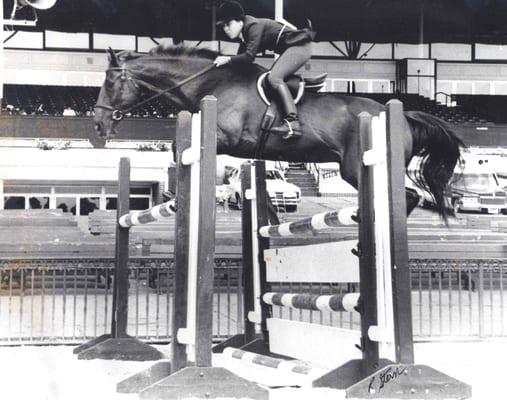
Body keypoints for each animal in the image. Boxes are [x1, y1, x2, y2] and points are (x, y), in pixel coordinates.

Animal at [93, 47, 466, 222]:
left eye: (110, 82)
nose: (97, 126)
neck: (211, 82)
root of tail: (403, 115)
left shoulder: (230, 138)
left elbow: (179, 148)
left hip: (357, 169)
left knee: (408, 196)